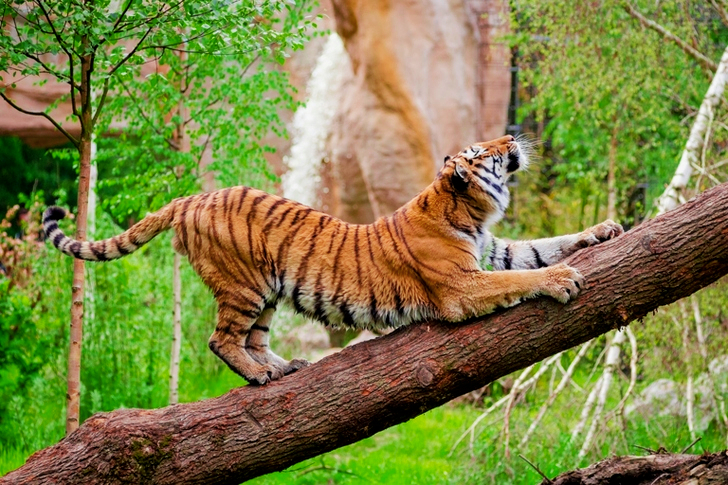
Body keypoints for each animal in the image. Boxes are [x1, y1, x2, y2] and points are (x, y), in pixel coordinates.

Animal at [43, 135, 623, 385]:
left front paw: (603, 229)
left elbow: (541, 246)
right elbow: (529, 273)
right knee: (221, 339)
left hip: (268, 293)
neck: (470, 211)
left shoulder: (494, 252)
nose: (511, 136)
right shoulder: (461, 286)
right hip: (245, 285)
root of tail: (191, 198)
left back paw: (281, 367)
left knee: (255, 338)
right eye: (485, 152)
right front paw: (563, 279)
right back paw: (259, 377)